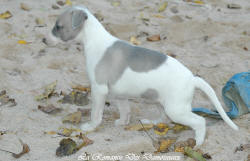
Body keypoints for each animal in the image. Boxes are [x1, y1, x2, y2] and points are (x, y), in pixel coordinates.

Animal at [43, 5, 238, 145]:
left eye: (58, 27)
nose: (43, 40)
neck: (94, 40)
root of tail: (192, 78)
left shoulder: (98, 89)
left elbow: (95, 113)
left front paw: (90, 127)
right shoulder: (119, 94)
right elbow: (125, 110)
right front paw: (123, 122)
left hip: (177, 109)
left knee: (199, 121)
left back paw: (198, 142)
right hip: (163, 102)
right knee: (163, 118)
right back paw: (151, 122)